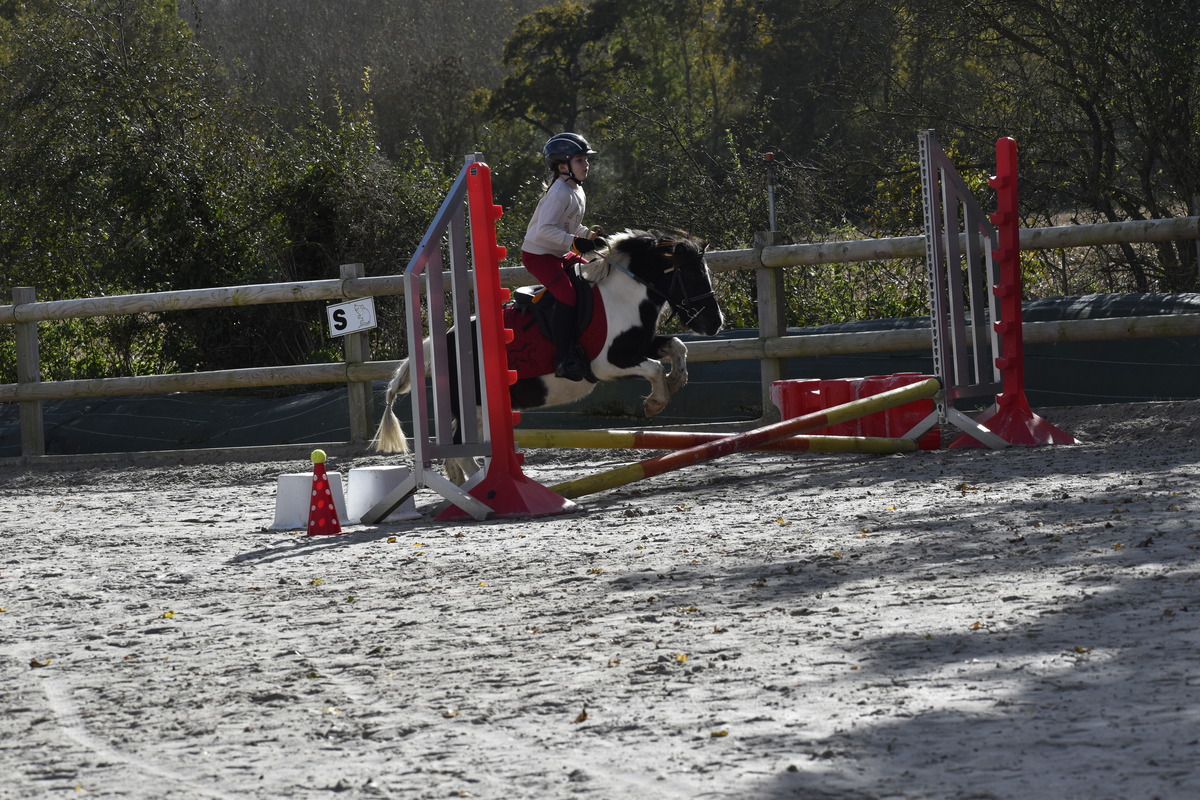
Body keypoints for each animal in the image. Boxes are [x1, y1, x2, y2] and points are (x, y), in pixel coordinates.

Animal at [369, 227, 720, 484]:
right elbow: (655, 368)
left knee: (457, 456)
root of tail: (434, 345)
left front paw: (676, 381)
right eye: (692, 275)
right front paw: (655, 402)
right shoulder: (608, 363)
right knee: (463, 453)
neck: (624, 296)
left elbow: (676, 346)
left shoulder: (636, 346)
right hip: (477, 407)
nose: (715, 323)